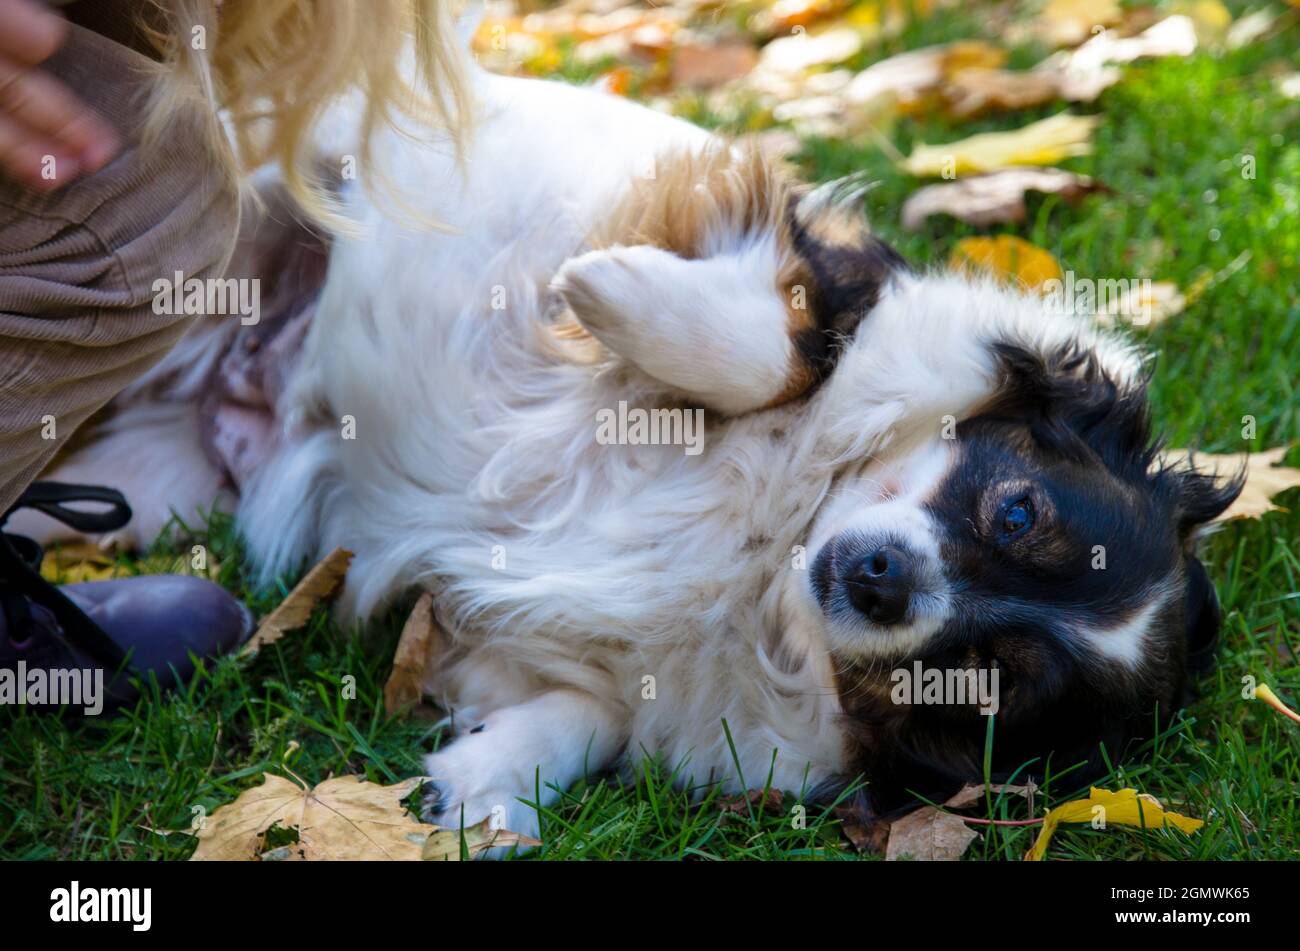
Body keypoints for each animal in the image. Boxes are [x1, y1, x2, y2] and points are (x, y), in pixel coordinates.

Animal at [20, 57, 1237, 841]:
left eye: (984, 681)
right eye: (1015, 508)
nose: (882, 580)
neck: (774, 552)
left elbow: (588, 717)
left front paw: (485, 788)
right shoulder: (777, 247)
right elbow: (785, 349)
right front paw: (605, 288)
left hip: (152, 487)